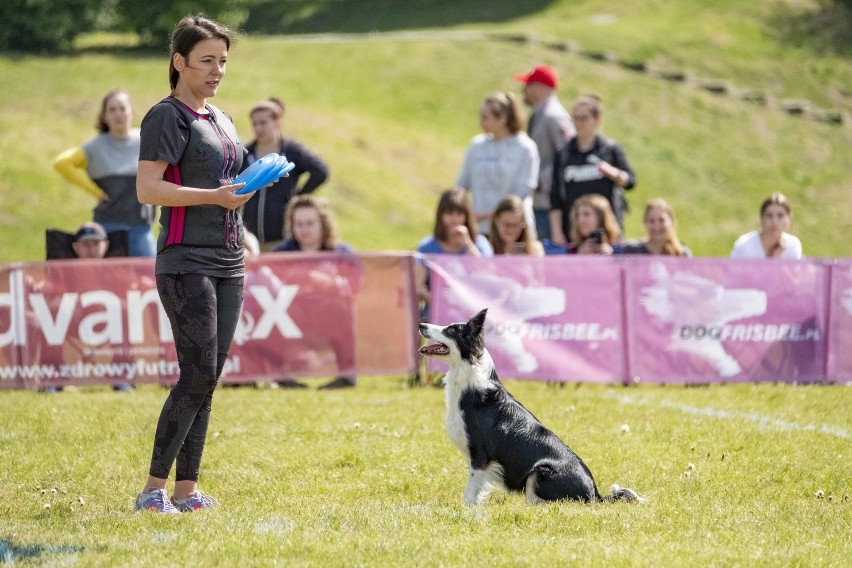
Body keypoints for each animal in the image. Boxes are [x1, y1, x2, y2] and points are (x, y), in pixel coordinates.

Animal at [416, 310, 644, 506]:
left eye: (450, 330)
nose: (421, 324)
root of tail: (595, 494)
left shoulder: (480, 454)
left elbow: (471, 490)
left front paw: (466, 510)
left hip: (538, 473)